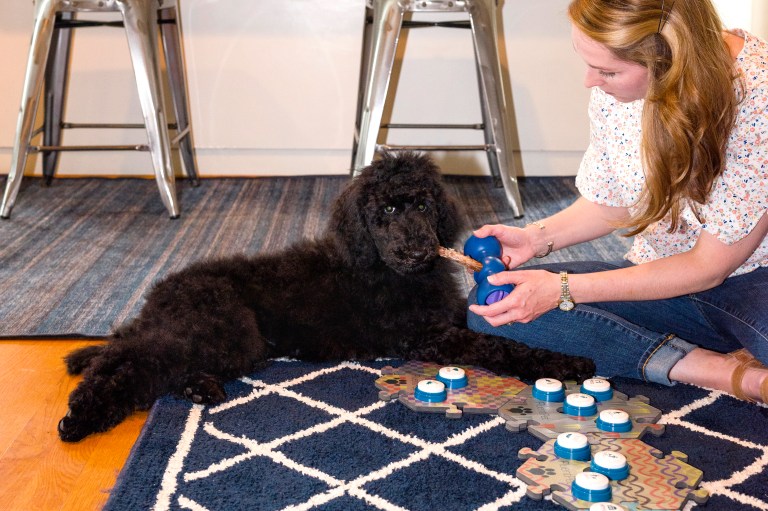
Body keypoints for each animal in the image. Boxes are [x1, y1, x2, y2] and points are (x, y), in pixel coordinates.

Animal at [57, 153, 592, 444]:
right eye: (386, 210)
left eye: (422, 204)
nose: (418, 250)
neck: (389, 269)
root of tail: (160, 293)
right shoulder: (425, 335)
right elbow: (496, 346)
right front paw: (564, 363)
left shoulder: (444, 316)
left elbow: (485, 329)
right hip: (220, 329)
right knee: (129, 358)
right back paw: (80, 416)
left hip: (219, 340)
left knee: (142, 356)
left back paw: (198, 389)